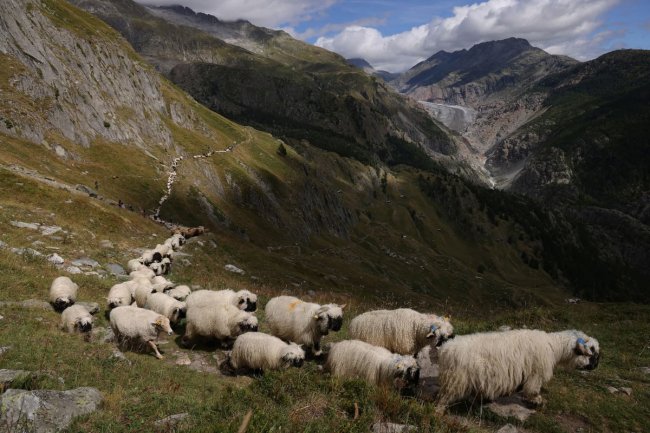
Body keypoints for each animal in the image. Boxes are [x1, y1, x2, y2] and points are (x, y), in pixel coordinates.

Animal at [432, 330, 600, 410]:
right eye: (592, 351)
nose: (595, 366)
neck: (554, 346)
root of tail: (445, 349)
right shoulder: (536, 373)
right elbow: (532, 390)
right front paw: (537, 401)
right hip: (455, 380)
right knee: (443, 398)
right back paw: (439, 412)